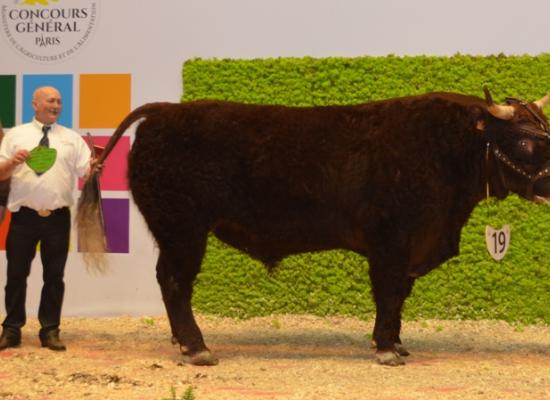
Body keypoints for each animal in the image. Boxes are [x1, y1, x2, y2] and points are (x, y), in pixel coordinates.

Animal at [76, 87, 550, 366]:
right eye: (527, 141)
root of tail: (166, 111)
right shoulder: (391, 243)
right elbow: (389, 294)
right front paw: (385, 349)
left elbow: (399, 298)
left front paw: (397, 343)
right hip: (183, 229)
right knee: (175, 282)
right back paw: (197, 348)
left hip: (174, 231)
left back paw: (182, 342)